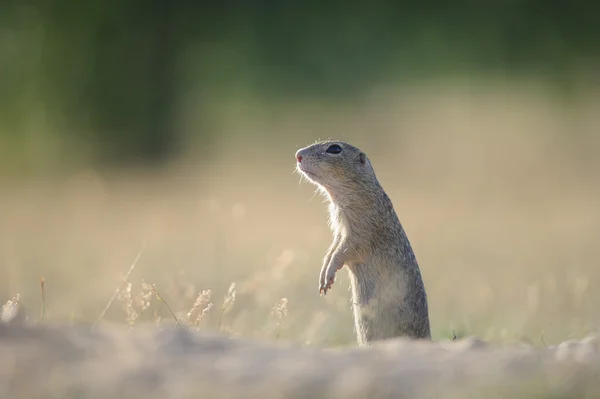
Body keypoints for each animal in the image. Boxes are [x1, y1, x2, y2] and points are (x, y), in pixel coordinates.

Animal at [292, 141, 428, 346]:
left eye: (334, 149)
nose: (298, 155)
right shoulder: (339, 230)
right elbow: (333, 248)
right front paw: (323, 273)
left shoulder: (360, 231)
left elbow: (344, 251)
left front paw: (329, 274)